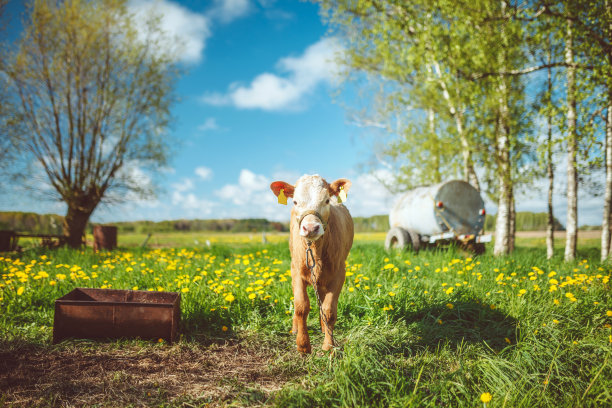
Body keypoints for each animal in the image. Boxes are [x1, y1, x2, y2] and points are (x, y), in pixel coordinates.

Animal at [268, 174, 354, 352]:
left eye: (327, 200)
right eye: (295, 202)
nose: (310, 228)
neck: (314, 249)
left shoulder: (339, 274)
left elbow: (329, 310)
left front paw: (329, 345)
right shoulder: (296, 272)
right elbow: (301, 306)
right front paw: (303, 345)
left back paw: (323, 327)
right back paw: (295, 328)